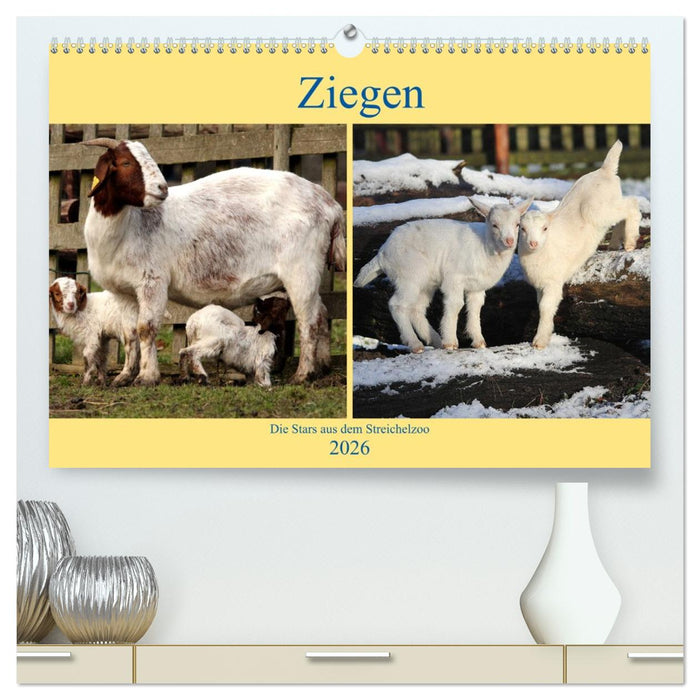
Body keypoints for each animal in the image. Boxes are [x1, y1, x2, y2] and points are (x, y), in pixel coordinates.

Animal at [82, 138, 346, 386]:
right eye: (126, 162)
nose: (162, 189)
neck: (126, 227)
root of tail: (331, 205)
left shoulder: (152, 281)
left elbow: (146, 329)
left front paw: (147, 377)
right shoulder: (123, 293)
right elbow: (130, 335)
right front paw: (124, 376)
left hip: (301, 269)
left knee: (310, 322)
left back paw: (303, 374)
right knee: (322, 314)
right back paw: (322, 367)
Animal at [354, 197, 533, 352]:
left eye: (518, 224)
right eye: (495, 225)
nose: (509, 241)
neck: (484, 246)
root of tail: (382, 254)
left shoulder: (476, 287)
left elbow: (475, 309)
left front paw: (479, 341)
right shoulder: (454, 278)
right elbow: (455, 304)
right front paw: (451, 343)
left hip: (425, 283)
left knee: (417, 309)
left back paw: (435, 340)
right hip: (409, 275)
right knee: (397, 305)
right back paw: (415, 344)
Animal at [518, 141, 641, 349]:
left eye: (545, 228)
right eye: (522, 228)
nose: (533, 243)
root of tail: (605, 170)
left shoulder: (552, 281)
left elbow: (545, 307)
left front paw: (540, 341)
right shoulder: (539, 285)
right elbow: (542, 306)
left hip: (597, 209)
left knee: (631, 204)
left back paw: (631, 242)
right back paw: (615, 244)